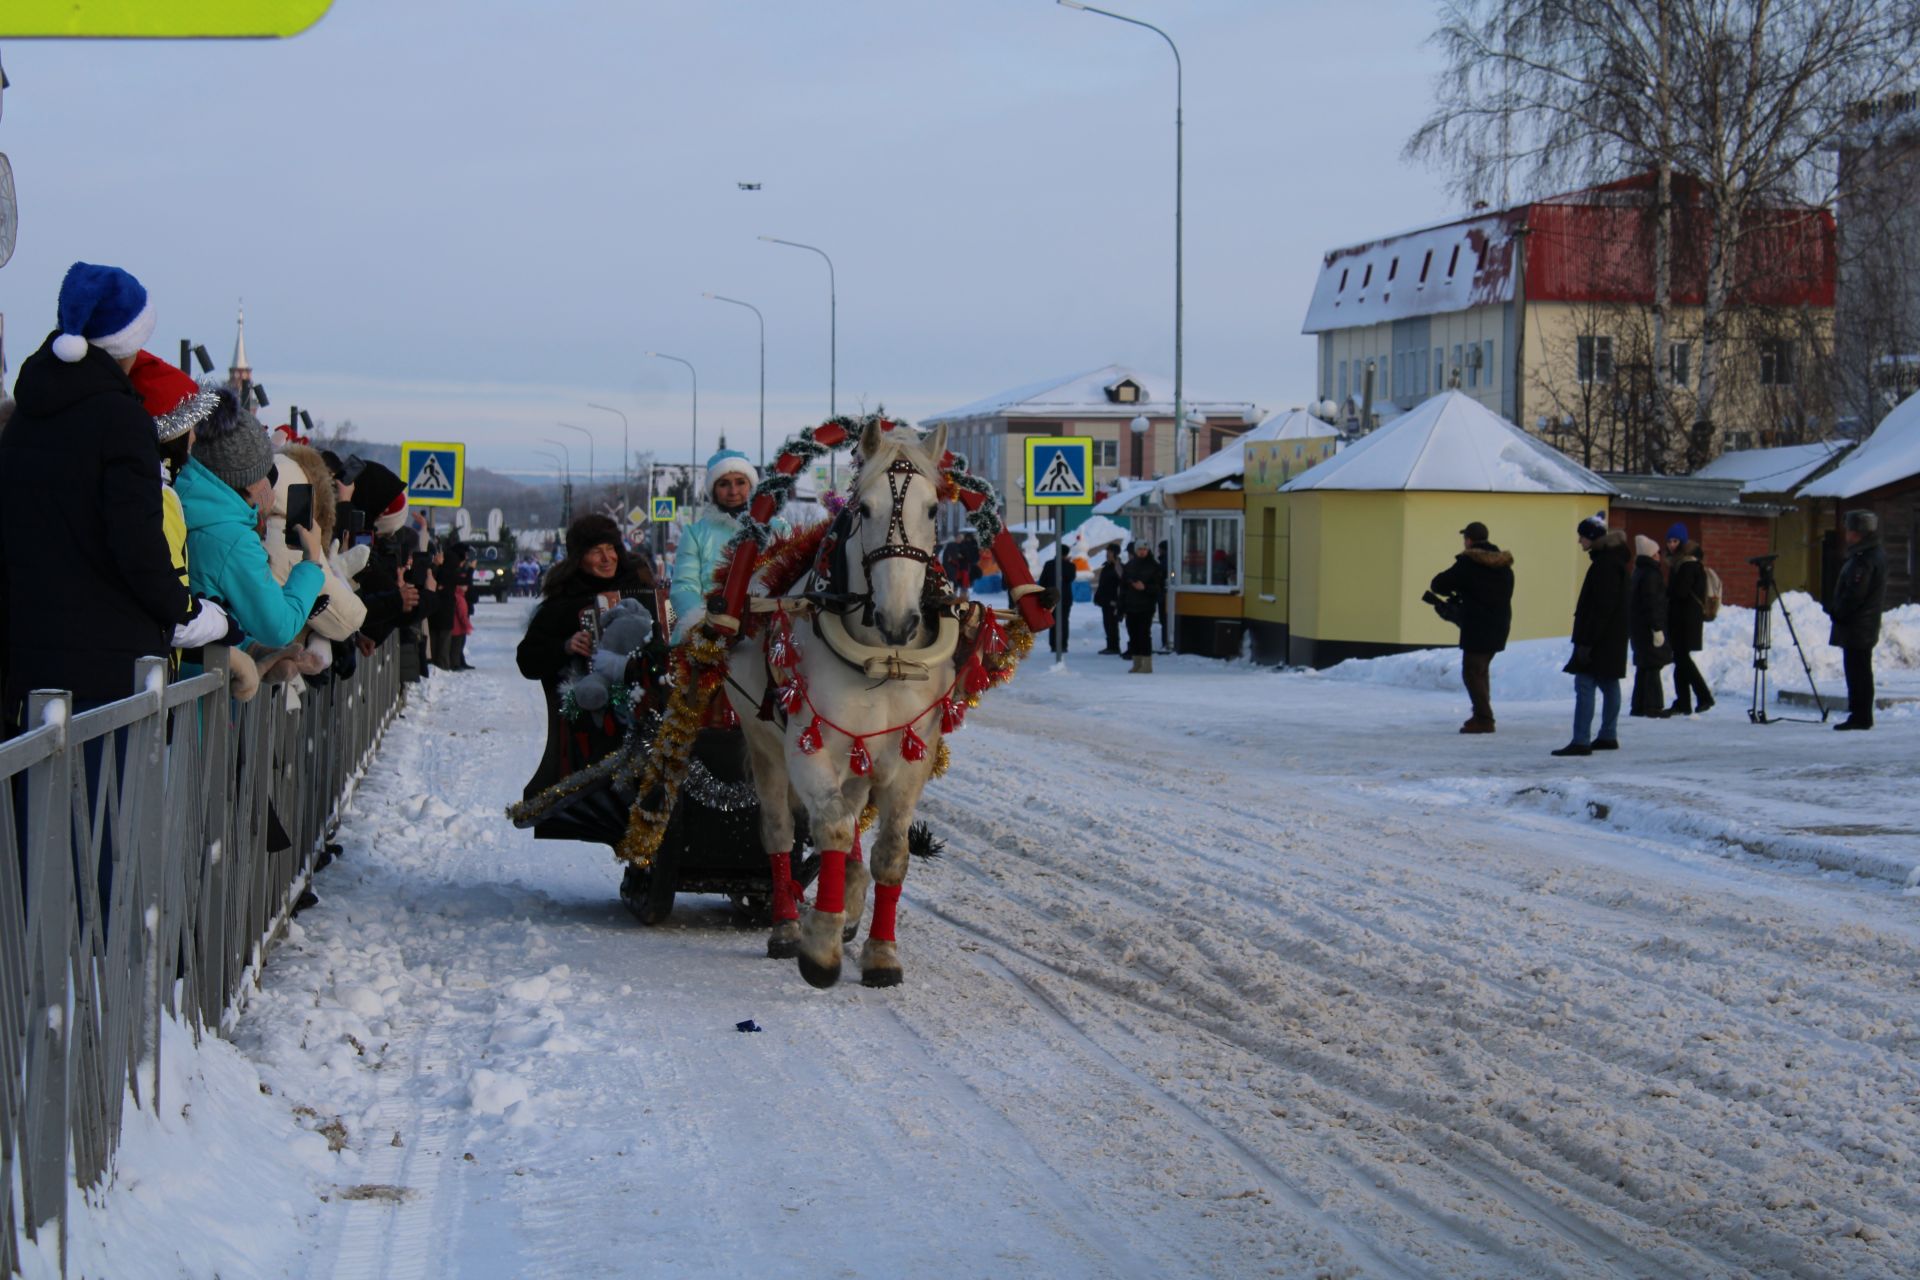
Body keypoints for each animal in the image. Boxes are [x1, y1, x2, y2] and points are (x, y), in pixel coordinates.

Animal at [721, 420, 948, 990]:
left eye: (934, 509)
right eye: (862, 508)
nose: (898, 621)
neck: (882, 660)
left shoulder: (909, 757)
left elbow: (891, 853)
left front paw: (881, 953)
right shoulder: (809, 747)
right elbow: (834, 829)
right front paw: (819, 947)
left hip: (860, 763)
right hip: (765, 746)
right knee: (780, 832)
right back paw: (786, 926)